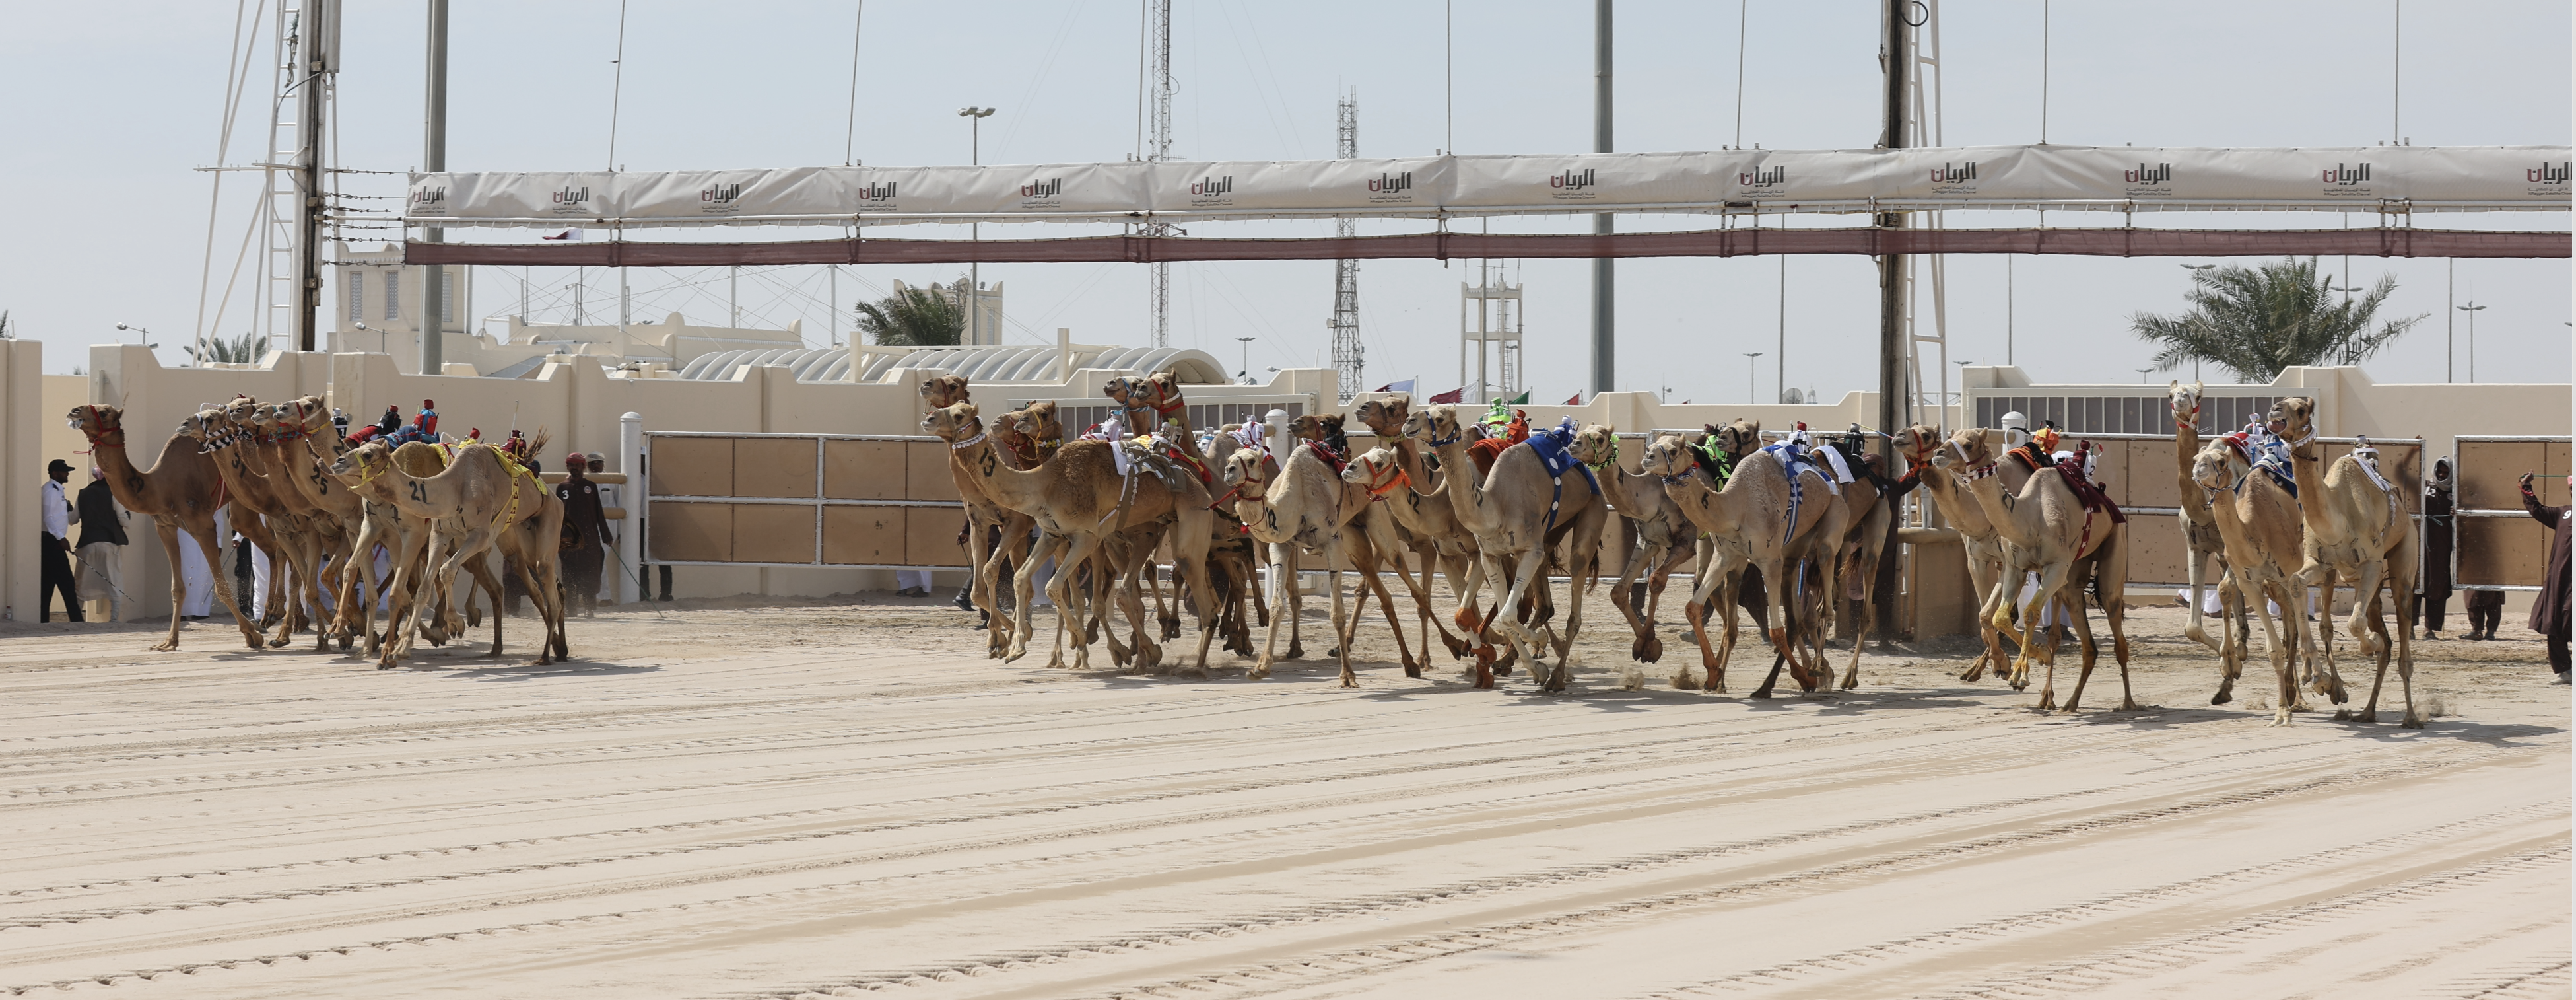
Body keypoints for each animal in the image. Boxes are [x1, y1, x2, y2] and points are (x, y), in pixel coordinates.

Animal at [64, 402, 263, 652]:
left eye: (103, 412)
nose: (74, 411)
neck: (161, 487)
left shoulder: (203, 526)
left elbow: (221, 587)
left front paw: (251, 635)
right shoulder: (165, 527)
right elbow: (177, 588)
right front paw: (169, 641)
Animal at [1937, 425, 2132, 716]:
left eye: (1969, 444)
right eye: (1949, 437)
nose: (1938, 454)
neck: (2030, 518)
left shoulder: (2056, 568)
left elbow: (2029, 613)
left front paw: (2020, 674)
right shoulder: (2015, 568)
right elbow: (2001, 617)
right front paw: (2028, 663)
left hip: (2113, 548)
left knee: (2115, 622)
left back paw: (2129, 703)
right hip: (2075, 575)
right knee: (2088, 644)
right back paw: (2069, 703)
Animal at [2277, 396, 2411, 727]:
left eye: (2302, 410)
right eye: (2278, 403)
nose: (2275, 416)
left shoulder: (2373, 562)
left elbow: (2354, 623)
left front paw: (2370, 644)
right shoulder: (2319, 563)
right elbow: (2296, 584)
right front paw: (2320, 680)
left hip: (2404, 553)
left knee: (2402, 616)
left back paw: (2412, 717)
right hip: (2346, 577)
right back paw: (2364, 708)